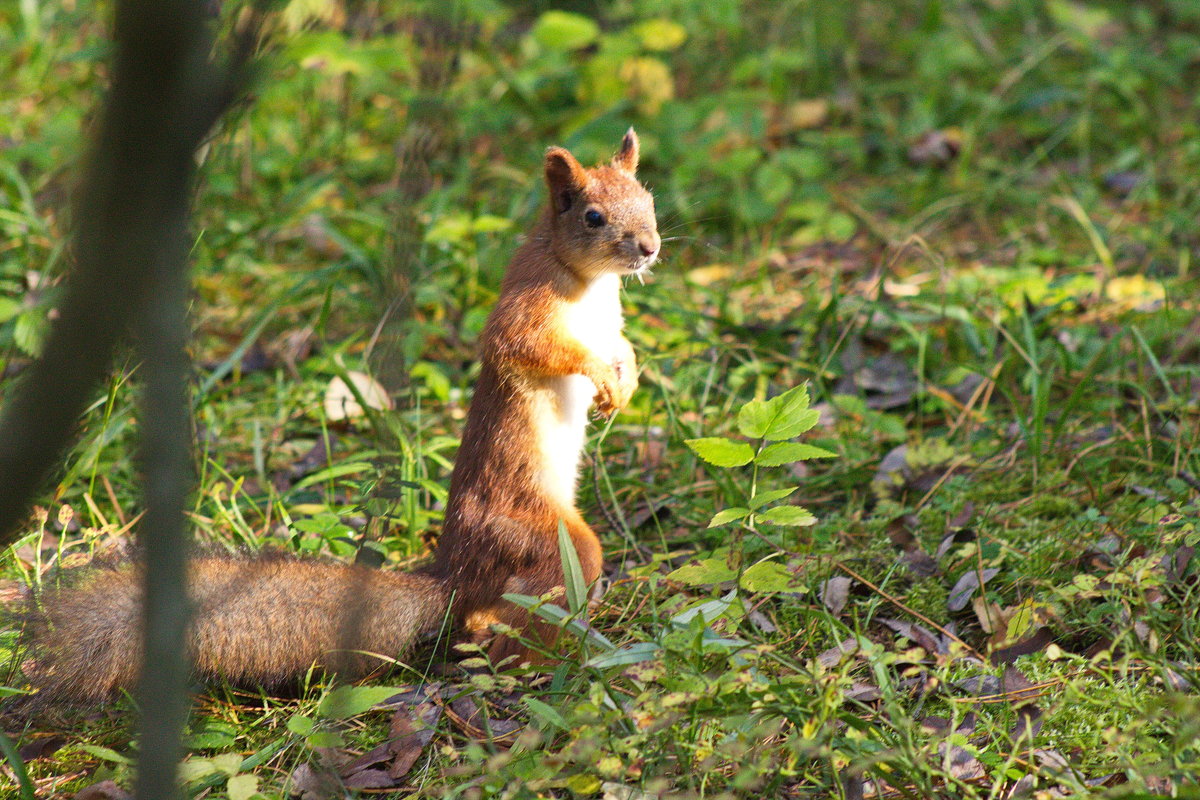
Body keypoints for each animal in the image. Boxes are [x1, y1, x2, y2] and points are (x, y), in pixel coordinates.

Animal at [21, 131, 657, 700]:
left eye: (648, 198)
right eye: (593, 217)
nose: (649, 247)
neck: (590, 282)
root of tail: (455, 571)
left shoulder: (610, 322)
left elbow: (620, 346)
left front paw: (624, 380)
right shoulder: (527, 305)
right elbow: (535, 347)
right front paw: (601, 378)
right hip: (535, 535)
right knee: (518, 604)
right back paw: (540, 663)